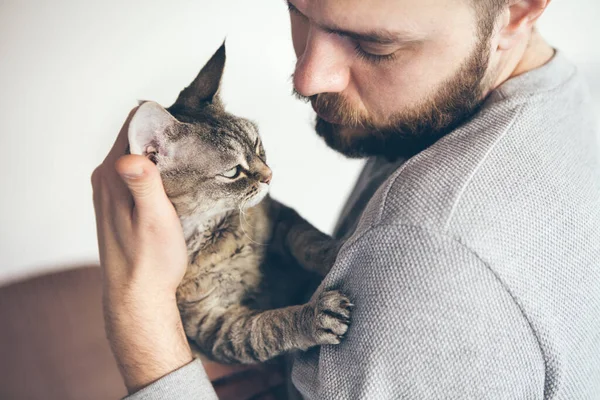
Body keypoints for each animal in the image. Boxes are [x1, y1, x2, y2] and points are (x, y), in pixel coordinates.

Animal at [127, 44, 352, 366]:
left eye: (257, 145)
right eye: (233, 171)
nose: (269, 175)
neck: (218, 234)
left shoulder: (281, 218)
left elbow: (310, 241)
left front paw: (337, 249)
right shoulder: (217, 324)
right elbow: (270, 326)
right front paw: (313, 316)